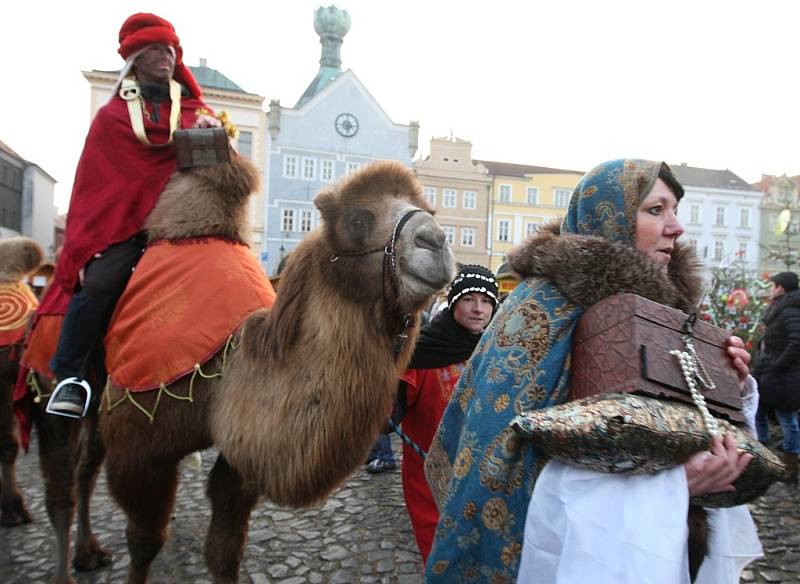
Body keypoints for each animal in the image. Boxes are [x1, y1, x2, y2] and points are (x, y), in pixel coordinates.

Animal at [94, 156, 454, 584]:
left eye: (428, 210)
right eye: (357, 219)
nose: (436, 239)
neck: (221, 376)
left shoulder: (240, 463)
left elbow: (224, 552)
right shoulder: (135, 445)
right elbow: (144, 542)